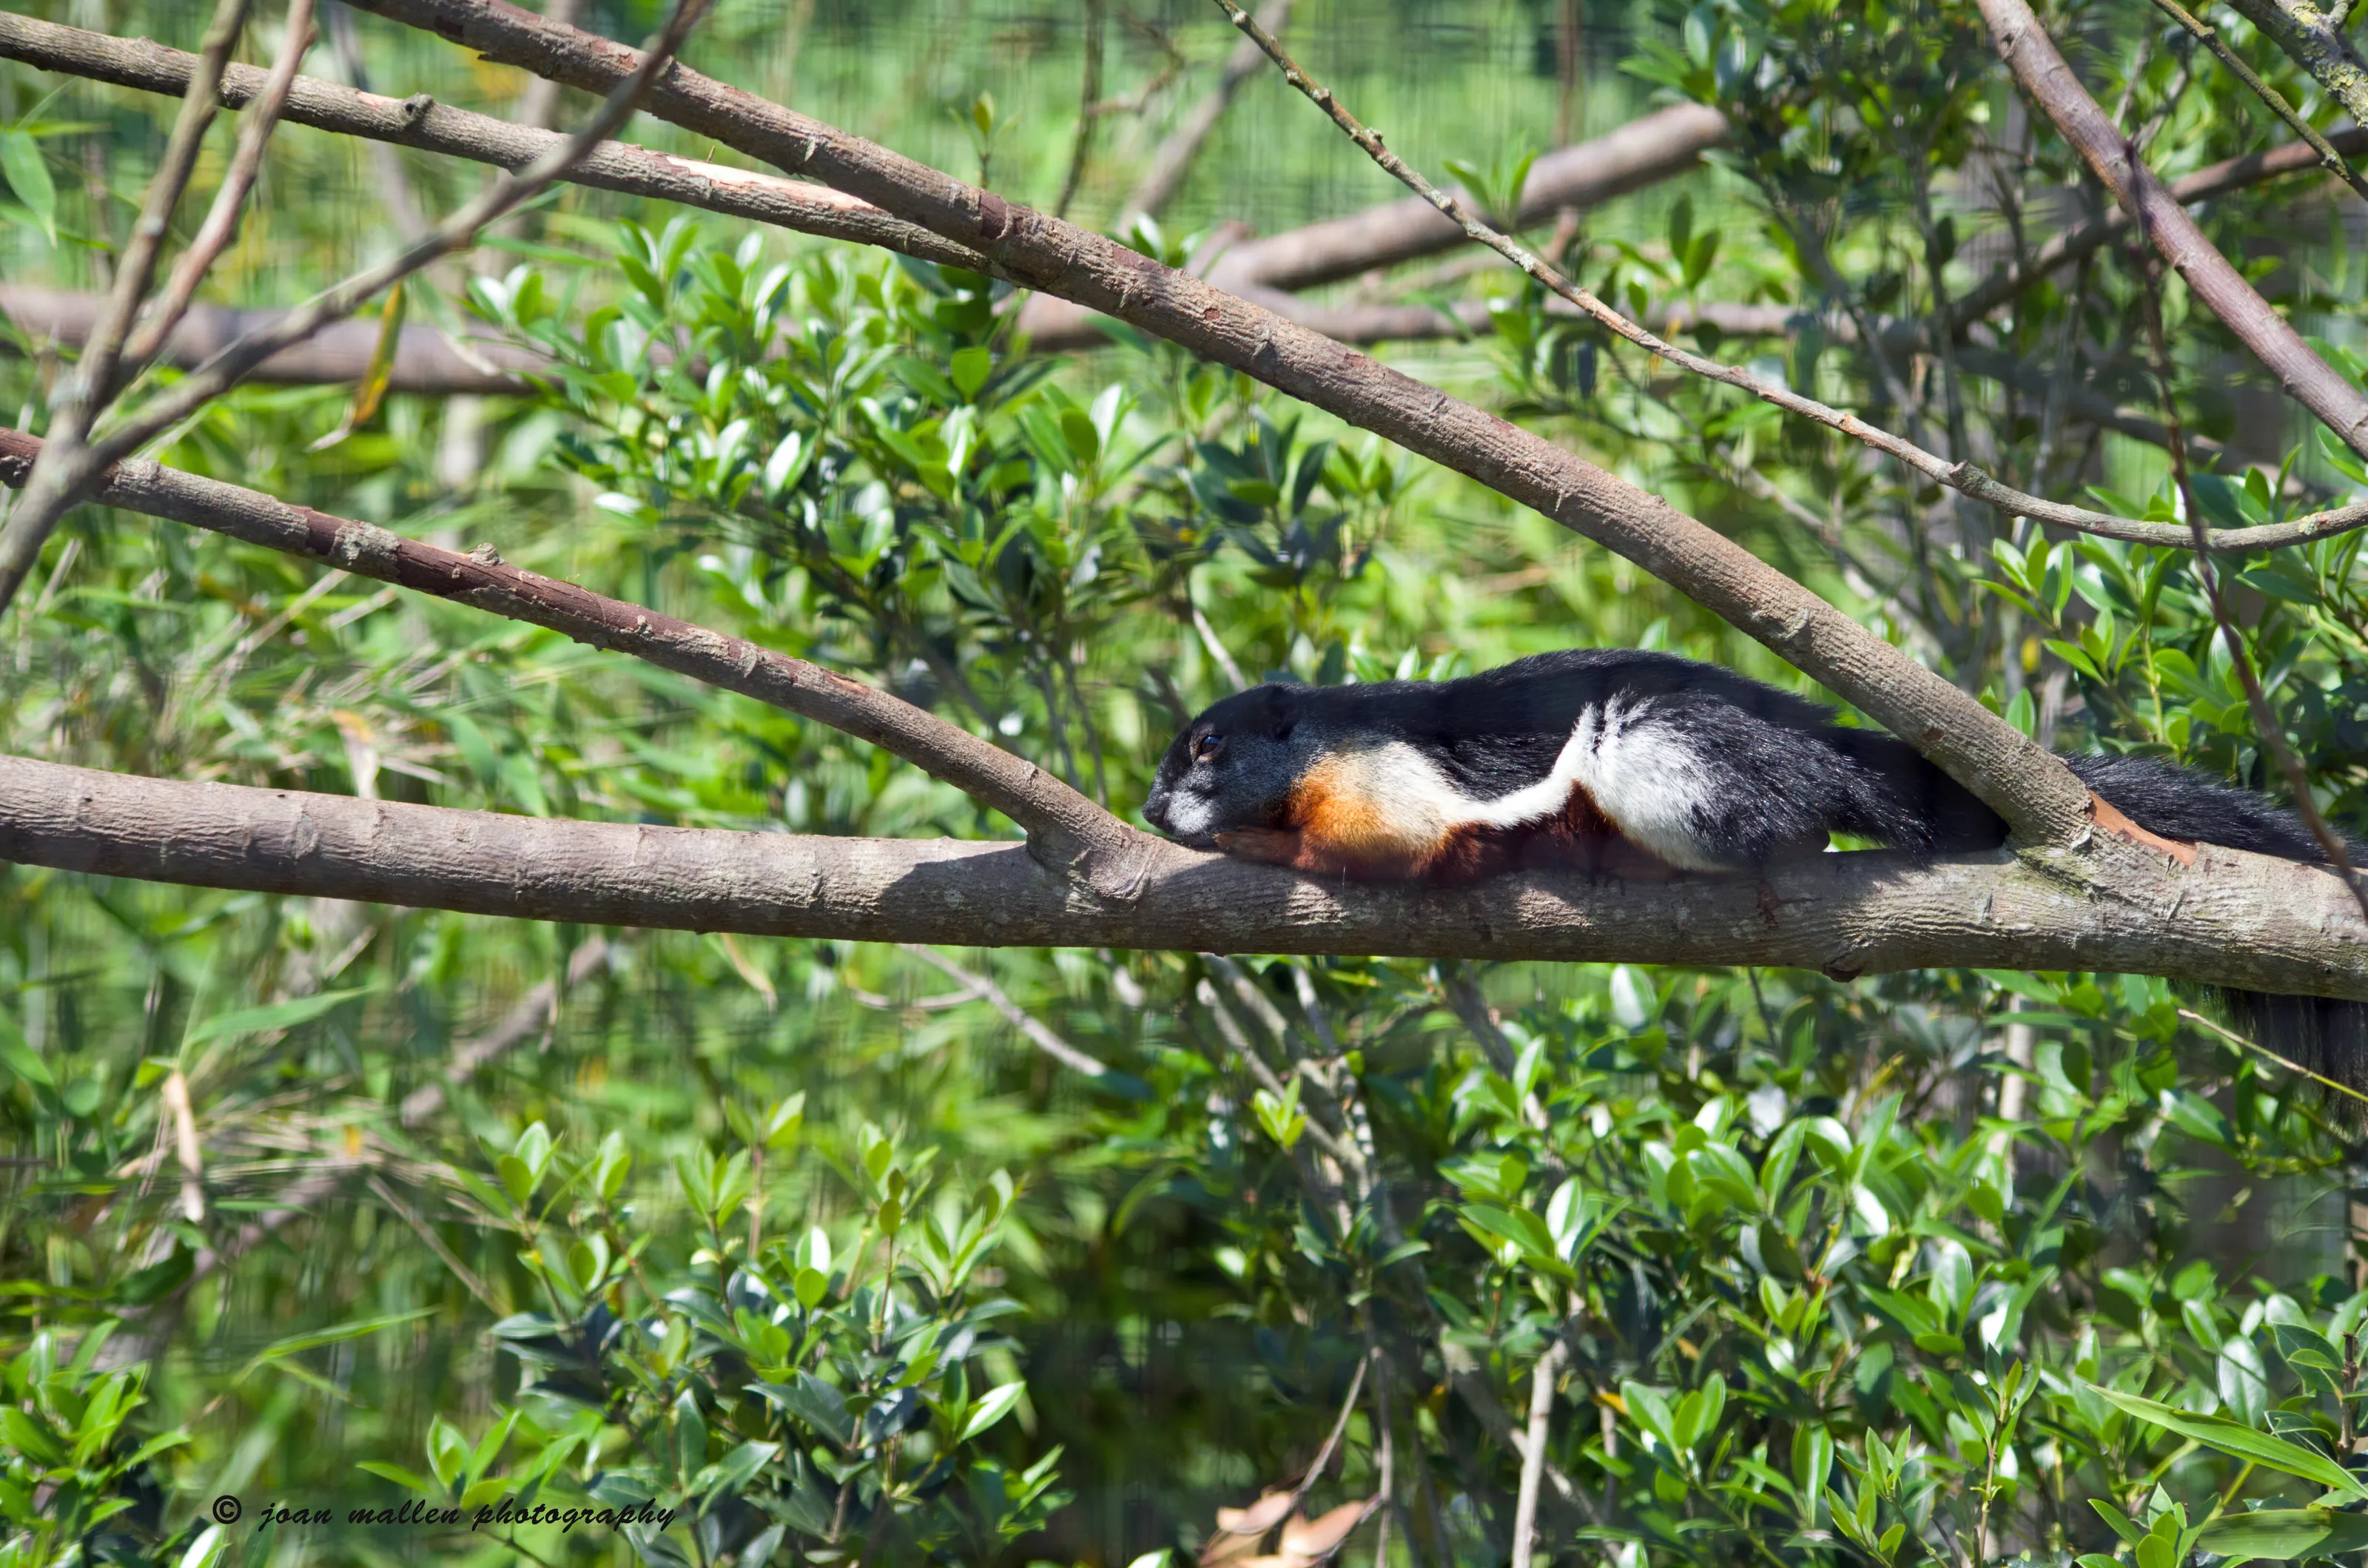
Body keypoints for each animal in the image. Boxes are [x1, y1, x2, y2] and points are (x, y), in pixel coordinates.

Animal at [1142, 648, 2367, 1085]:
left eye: (1205, 746)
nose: (1151, 801)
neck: (1318, 742)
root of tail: (1822, 736)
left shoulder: (1380, 775)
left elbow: (1378, 843)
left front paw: (1252, 837)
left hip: (1659, 746)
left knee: (1790, 813)